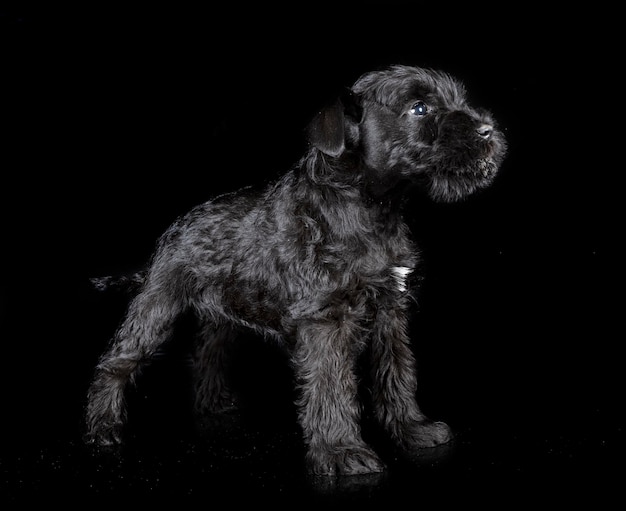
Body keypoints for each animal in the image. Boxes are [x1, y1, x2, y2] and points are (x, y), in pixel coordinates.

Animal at [85, 66, 504, 478]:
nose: (487, 130)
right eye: (419, 108)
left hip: (224, 315)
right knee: (116, 362)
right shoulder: (326, 321)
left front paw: (413, 429)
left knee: (207, 352)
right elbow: (331, 387)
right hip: (157, 307)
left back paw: (214, 403)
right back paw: (103, 426)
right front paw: (341, 452)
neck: (368, 206)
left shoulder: (391, 311)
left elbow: (397, 373)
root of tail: (174, 229)